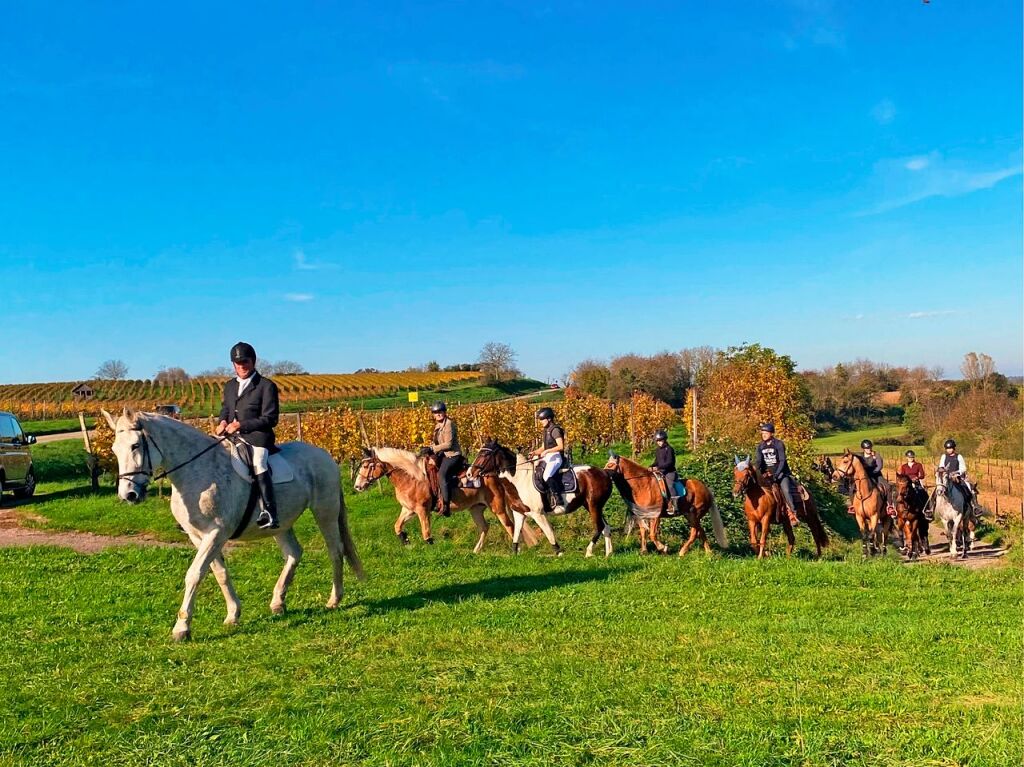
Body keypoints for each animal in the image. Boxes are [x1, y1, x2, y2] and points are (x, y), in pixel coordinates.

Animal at [102, 407, 364, 638]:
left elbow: (195, 573)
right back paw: (278, 602)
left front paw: (181, 628)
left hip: (325, 511)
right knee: (294, 553)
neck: (197, 471)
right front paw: (233, 615)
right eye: (114, 449)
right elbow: (220, 573)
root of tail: (323, 454)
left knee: (335, 551)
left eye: (135, 446)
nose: (128, 495)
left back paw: (334, 599)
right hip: (281, 523)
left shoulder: (216, 532)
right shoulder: (198, 535)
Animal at [352, 446, 536, 552]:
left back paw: (517, 550)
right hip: (476, 508)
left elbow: (426, 533)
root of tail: (495, 473)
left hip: (497, 507)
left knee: (510, 526)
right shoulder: (408, 509)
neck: (412, 477)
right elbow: (397, 526)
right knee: (484, 527)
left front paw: (431, 549)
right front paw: (406, 542)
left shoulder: (422, 510)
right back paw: (476, 550)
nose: (357, 486)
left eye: (367, 465)